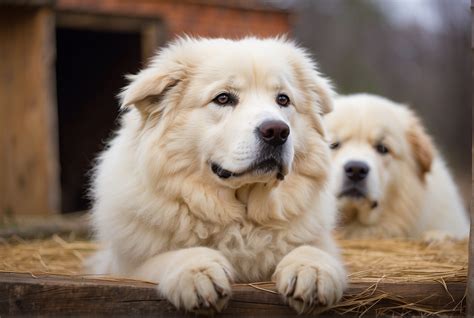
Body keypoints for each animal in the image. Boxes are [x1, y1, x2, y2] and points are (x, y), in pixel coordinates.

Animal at [89, 37, 346, 314]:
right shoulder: (127, 269)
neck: (241, 221)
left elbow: (312, 250)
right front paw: (198, 271)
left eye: (283, 100)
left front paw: (312, 269)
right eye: (223, 98)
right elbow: (167, 258)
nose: (277, 131)